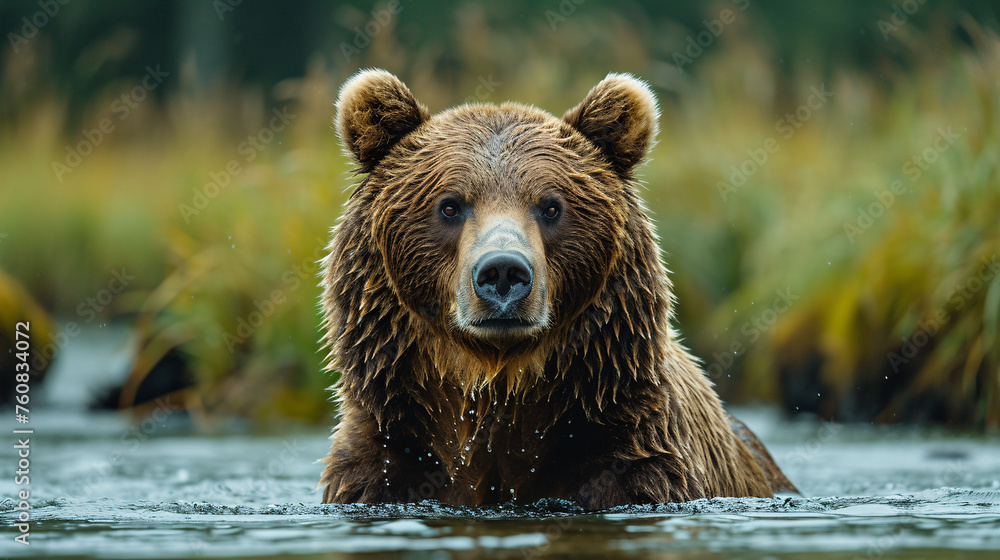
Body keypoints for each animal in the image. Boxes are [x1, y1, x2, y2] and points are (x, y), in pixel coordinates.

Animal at [318, 69, 796, 509]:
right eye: (450, 205)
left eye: (551, 206)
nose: (503, 271)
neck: (498, 384)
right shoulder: (386, 457)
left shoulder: (636, 454)